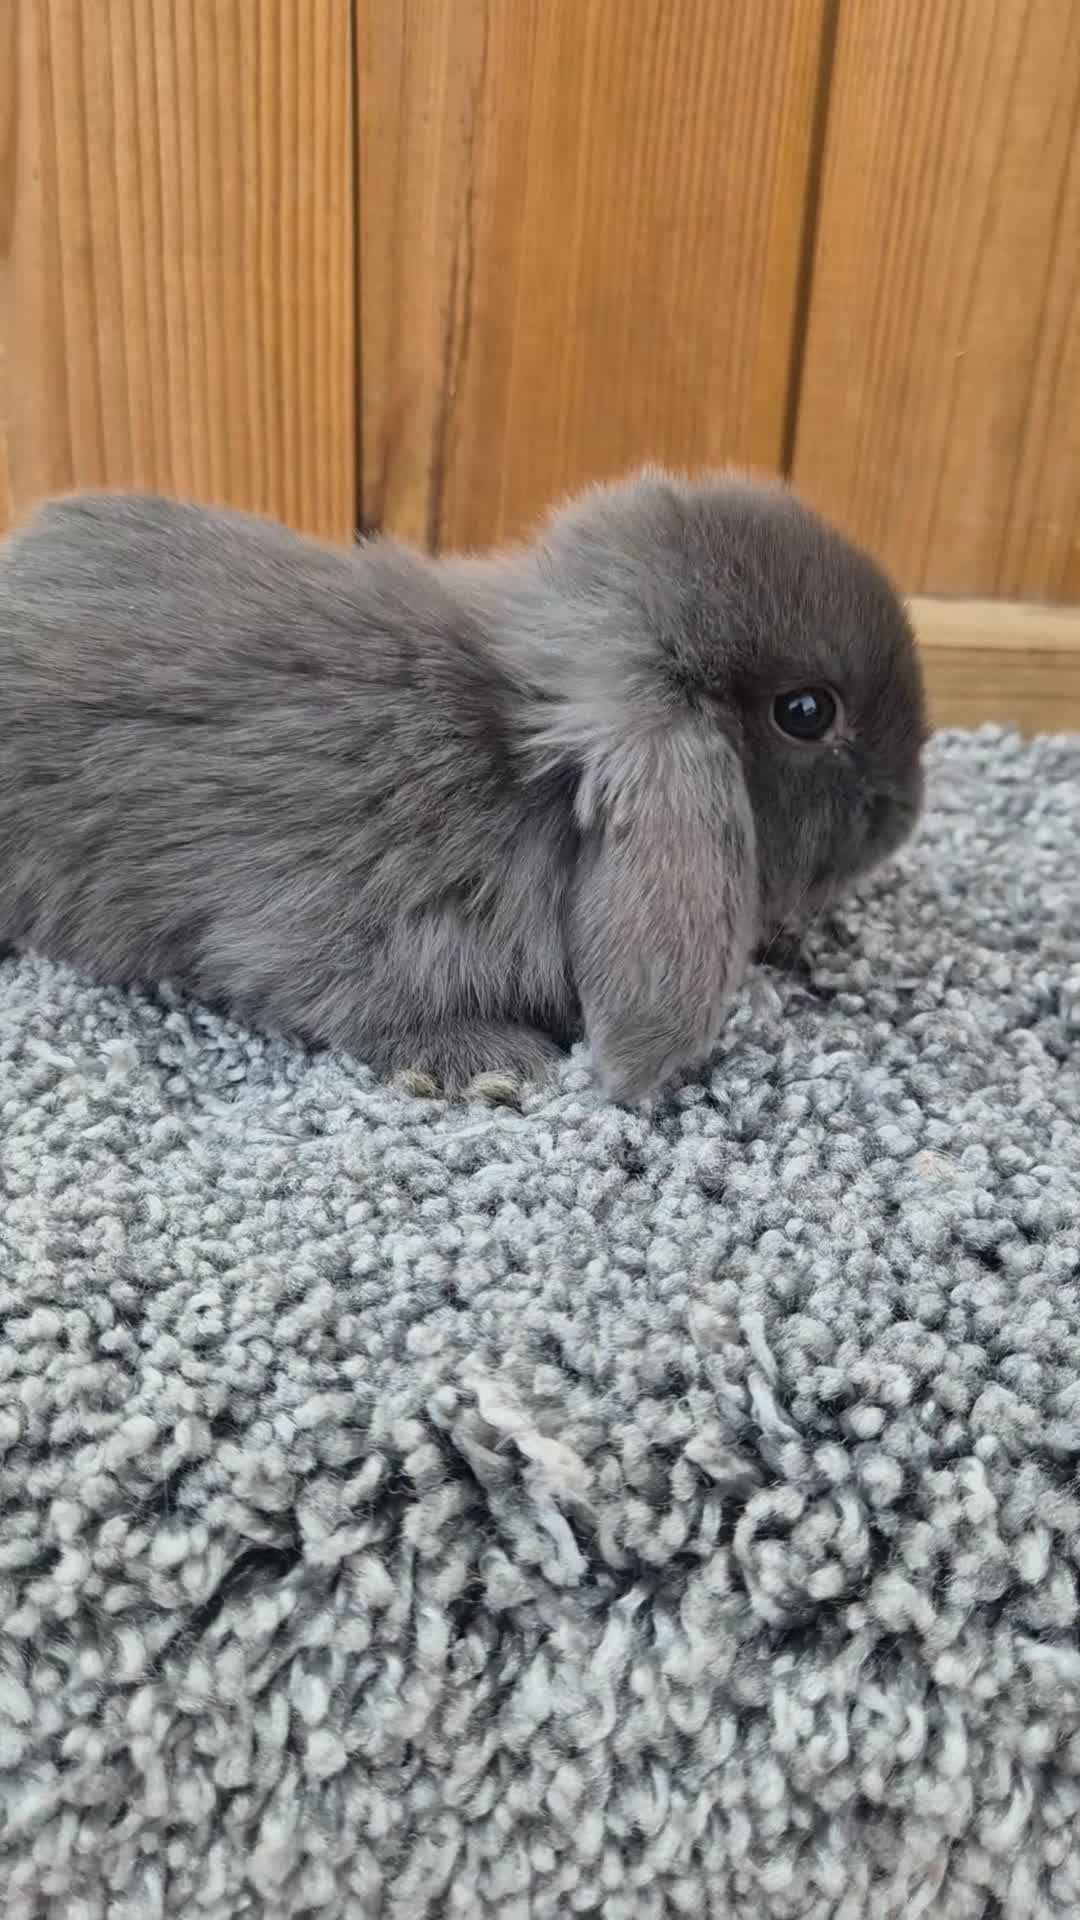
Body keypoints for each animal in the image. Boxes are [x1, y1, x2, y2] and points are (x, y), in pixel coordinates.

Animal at [0, 470, 926, 1101]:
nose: (907, 813)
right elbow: (341, 998)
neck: (524, 769)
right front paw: (497, 1065)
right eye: (806, 712)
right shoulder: (326, 926)